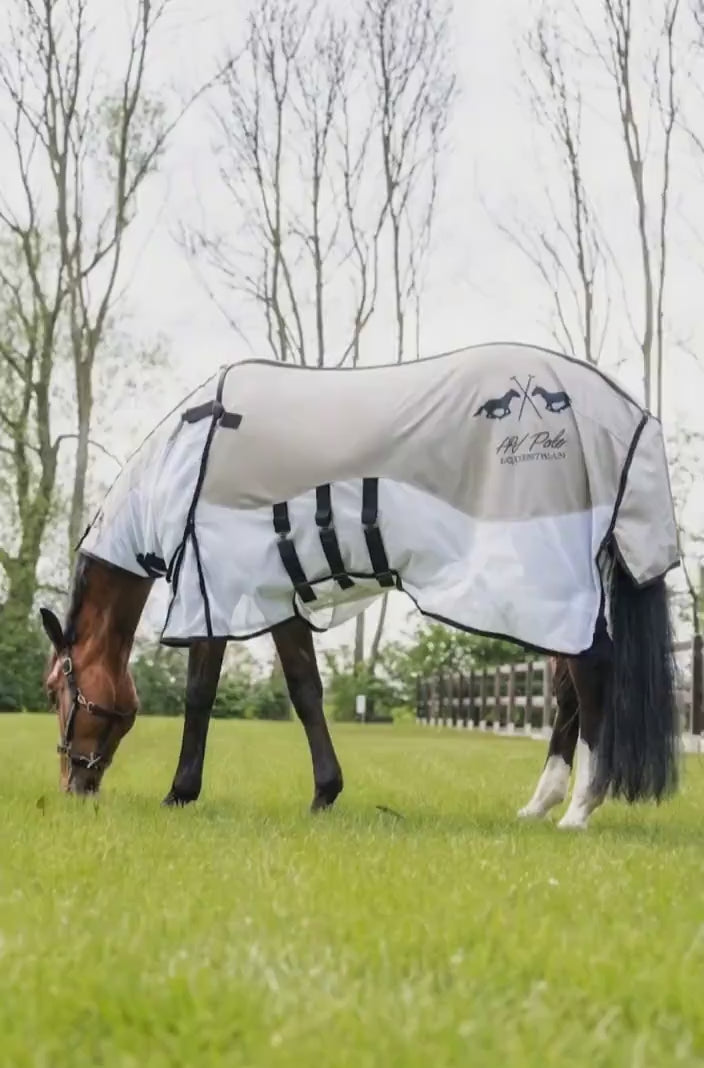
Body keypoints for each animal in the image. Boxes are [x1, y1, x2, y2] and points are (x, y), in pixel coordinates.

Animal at [39, 342, 681, 829]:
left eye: (52, 691)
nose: (72, 785)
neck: (188, 463)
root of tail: (619, 414)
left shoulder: (216, 591)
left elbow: (200, 694)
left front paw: (180, 792)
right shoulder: (278, 597)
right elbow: (305, 690)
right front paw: (325, 792)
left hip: (546, 584)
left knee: (591, 678)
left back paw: (578, 810)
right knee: (569, 692)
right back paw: (539, 804)